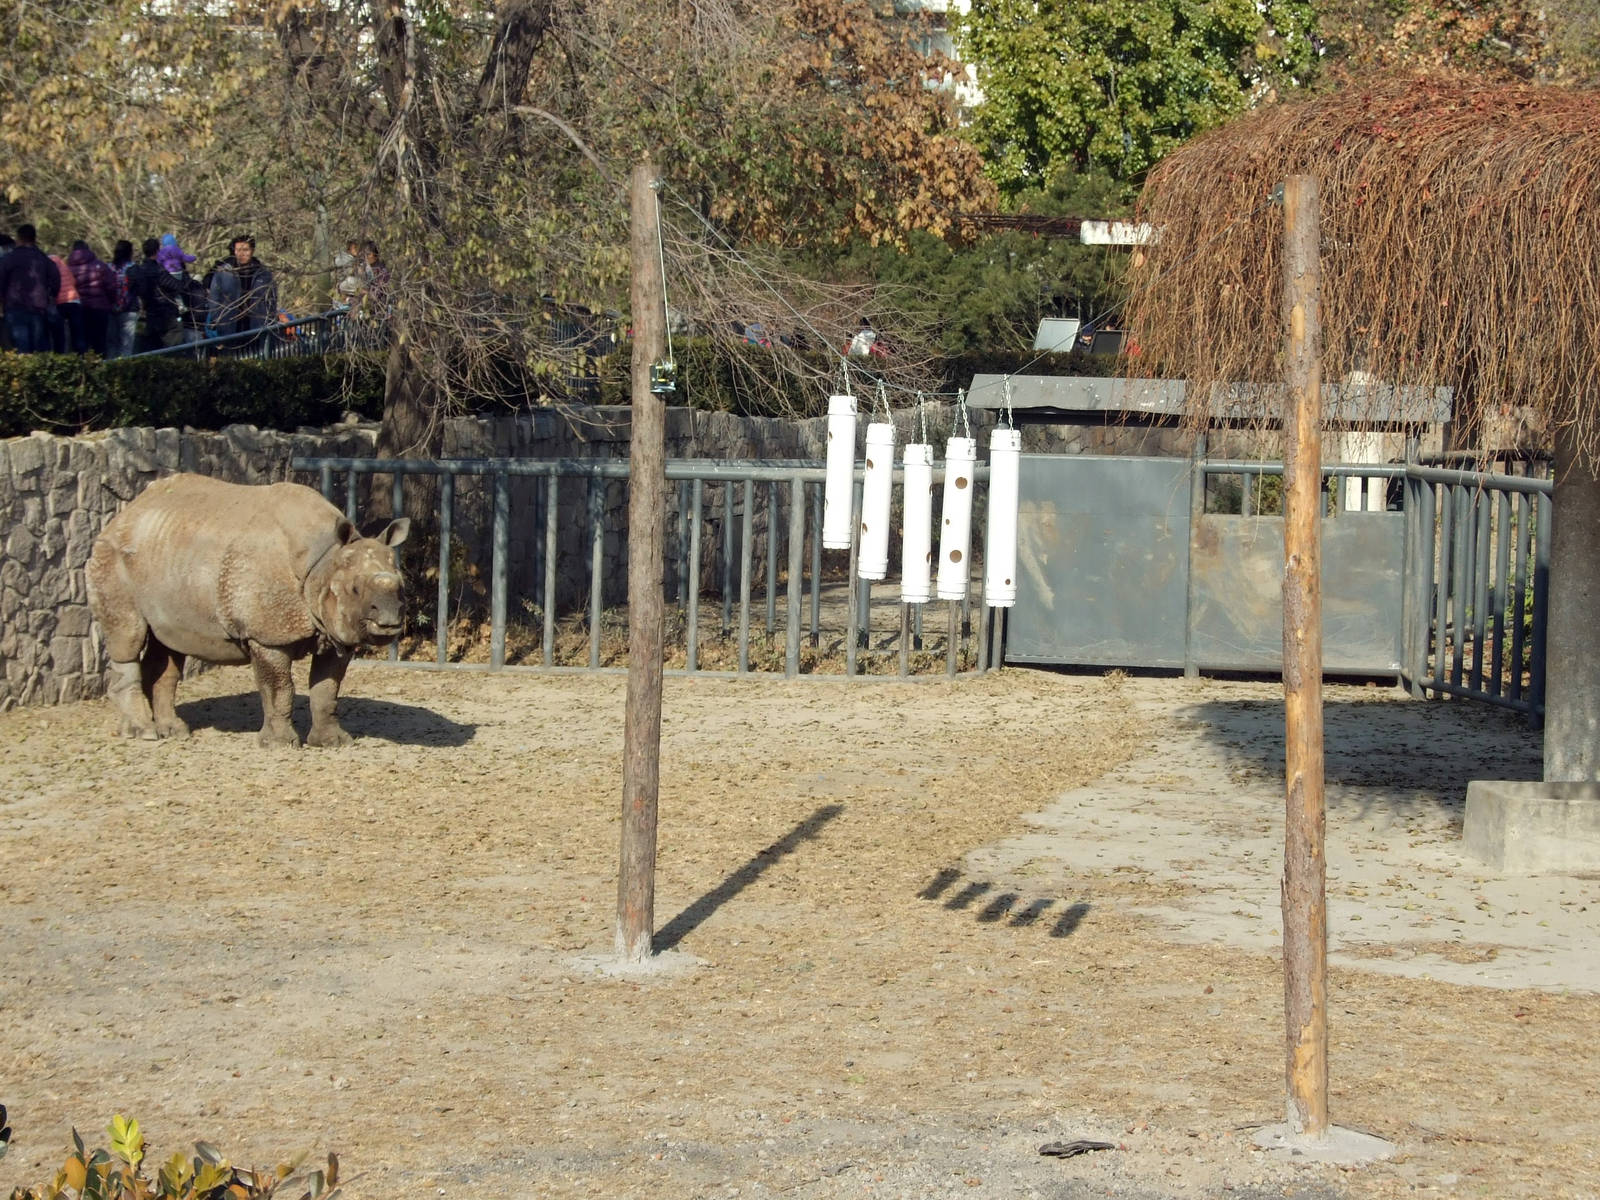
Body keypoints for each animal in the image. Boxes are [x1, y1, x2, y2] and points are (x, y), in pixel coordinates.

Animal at [85, 473, 410, 747]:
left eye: (401, 586)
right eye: (355, 589)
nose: (389, 621)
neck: (324, 564)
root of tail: (124, 514)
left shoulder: (334, 631)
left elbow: (327, 689)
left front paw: (334, 742)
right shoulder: (266, 634)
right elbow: (279, 688)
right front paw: (279, 744)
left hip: (164, 556)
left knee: (167, 644)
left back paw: (174, 731)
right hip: (112, 557)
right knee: (128, 636)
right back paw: (144, 733)